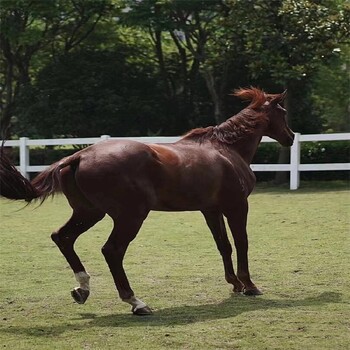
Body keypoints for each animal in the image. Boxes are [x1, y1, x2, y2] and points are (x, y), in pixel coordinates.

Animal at [0, 87, 294, 314]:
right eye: (283, 112)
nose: (291, 137)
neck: (225, 149)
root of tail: (79, 155)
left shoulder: (210, 210)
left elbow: (224, 245)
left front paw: (234, 283)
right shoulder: (237, 206)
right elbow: (242, 243)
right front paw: (249, 285)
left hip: (89, 213)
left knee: (63, 237)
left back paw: (82, 289)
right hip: (130, 217)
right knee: (112, 250)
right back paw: (136, 302)